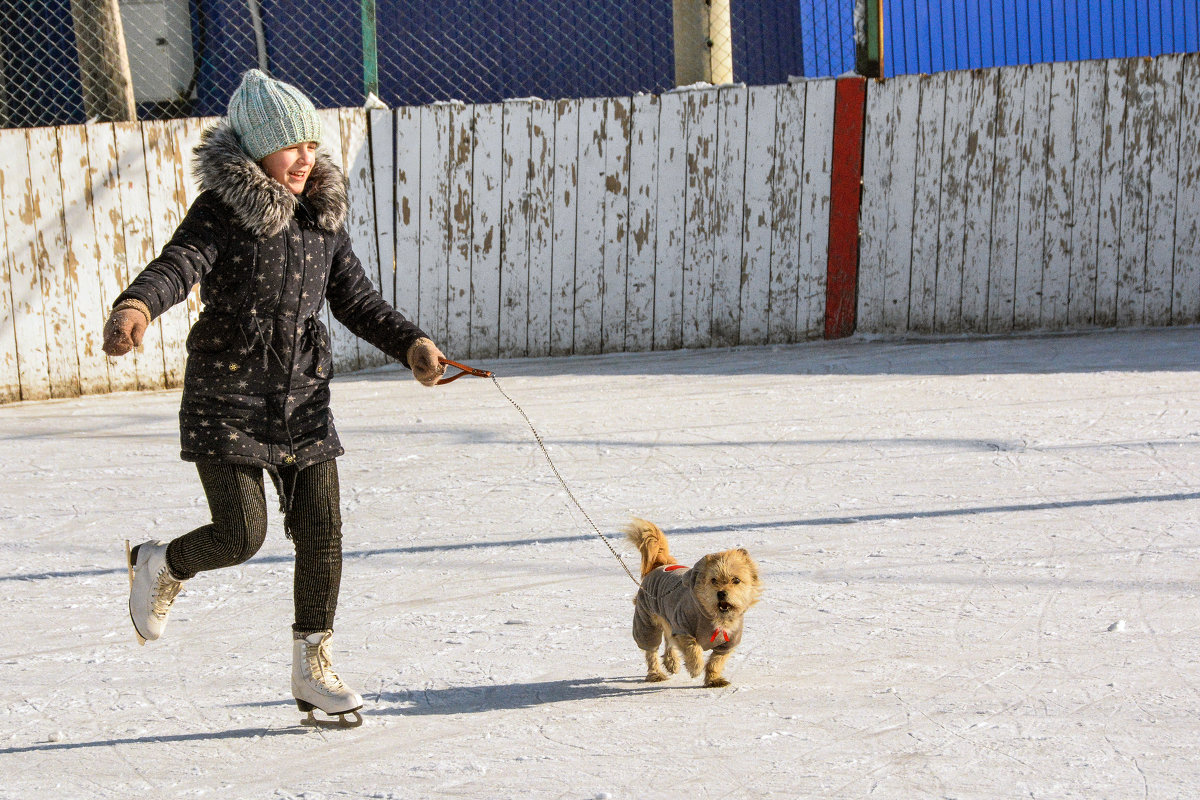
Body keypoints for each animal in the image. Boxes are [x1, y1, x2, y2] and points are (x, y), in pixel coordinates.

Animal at [624, 520, 763, 690]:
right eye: (713, 580)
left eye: (736, 580)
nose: (721, 593)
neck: (715, 617)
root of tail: (660, 565)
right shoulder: (682, 629)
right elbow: (693, 648)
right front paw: (695, 667)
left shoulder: (728, 643)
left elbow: (716, 662)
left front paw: (713, 679)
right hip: (645, 621)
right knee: (651, 651)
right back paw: (655, 673)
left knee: (668, 640)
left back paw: (671, 662)